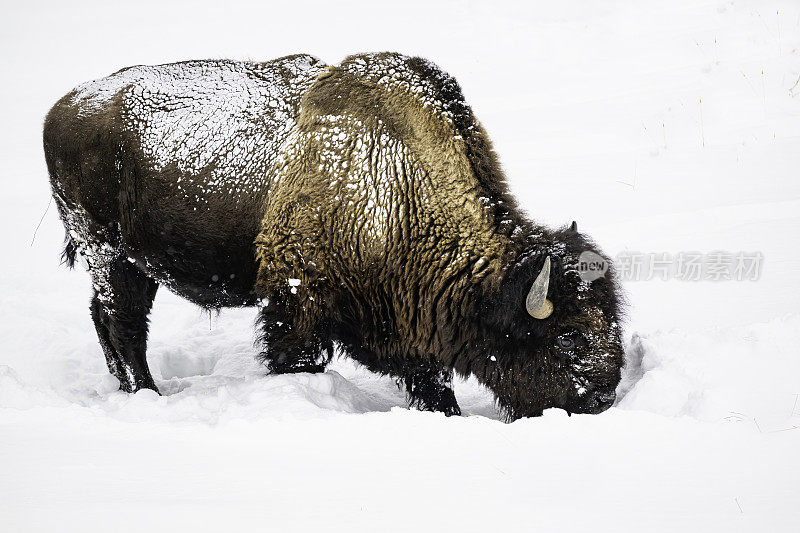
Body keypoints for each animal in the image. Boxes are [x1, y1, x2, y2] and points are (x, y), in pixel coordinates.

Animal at [42, 53, 624, 420]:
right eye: (567, 337)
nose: (602, 396)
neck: (398, 179)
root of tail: (65, 106)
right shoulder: (297, 302)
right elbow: (294, 356)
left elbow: (431, 380)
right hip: (107, 252)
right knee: (123, 324)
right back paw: (148, 395)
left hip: (133, 263)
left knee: (109, 318)